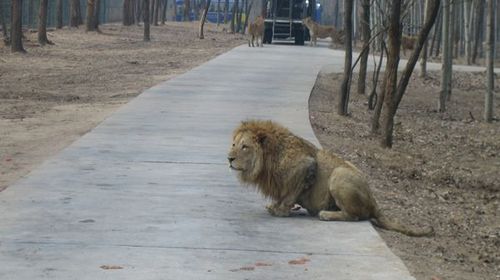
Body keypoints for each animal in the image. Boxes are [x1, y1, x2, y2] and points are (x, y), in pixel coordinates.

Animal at [228, 119, 434, 237]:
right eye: (234, 144)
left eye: (245, 147)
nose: (229, 158)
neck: (270, 158)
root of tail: (374, 200)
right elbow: (283, 194)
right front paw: (275, 206)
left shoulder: (306, 166)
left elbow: (289, 194)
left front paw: (280, 211)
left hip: (338, 175)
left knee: (355, 216)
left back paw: (326, 214)